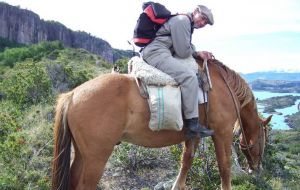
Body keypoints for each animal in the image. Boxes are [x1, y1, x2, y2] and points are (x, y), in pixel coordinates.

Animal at [51, 58, 272, 190]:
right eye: (264, 138)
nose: (257, 168)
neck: (222, 86)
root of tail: (72, 95)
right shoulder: (222, 133)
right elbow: (225, 167)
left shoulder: (193, 135)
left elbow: (186, 160)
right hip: (96, 157)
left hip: (82, 154)